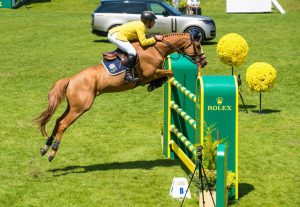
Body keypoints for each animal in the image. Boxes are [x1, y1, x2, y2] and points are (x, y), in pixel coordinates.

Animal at [35, 32, 206, 162]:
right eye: (198, 46)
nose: (204, 62)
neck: (155, 49)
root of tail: (71, 79)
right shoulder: (150, 73)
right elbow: (170, 72)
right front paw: (154, 84)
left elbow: (168, 74)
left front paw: (154, 85)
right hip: (80, 108)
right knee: (63, 124)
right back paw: (52, 153)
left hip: (72, 106)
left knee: (58, 121)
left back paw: (45, 148)